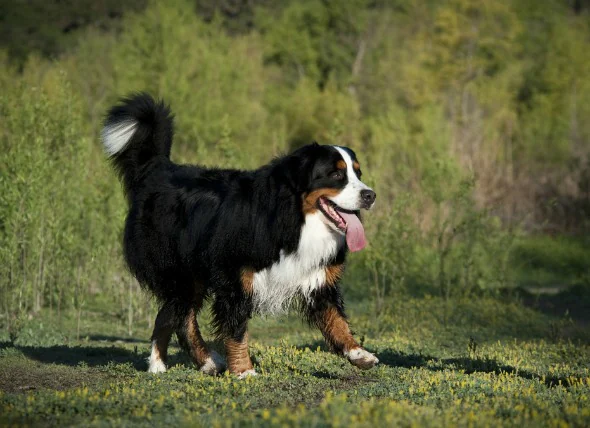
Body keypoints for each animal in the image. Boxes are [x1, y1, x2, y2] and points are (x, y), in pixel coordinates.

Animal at [102, 93, 380, 378]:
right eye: (336, 174)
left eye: (358, 173)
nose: (370, 195)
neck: (294, 218)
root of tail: (159, 169)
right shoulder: (234, 277)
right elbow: (236, 329)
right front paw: (244, 371)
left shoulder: (318, 278)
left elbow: (337, 320)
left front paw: (359, 353)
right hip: (180, 272)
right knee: (176, 316)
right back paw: (160, 365)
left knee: (177, 316)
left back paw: (204, 362)